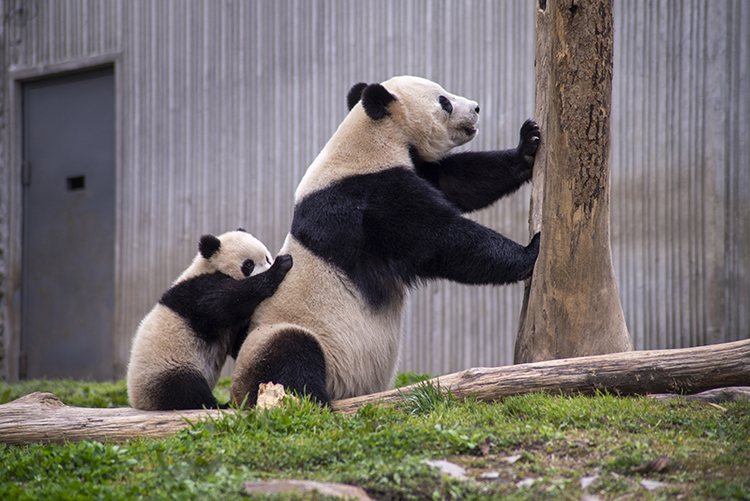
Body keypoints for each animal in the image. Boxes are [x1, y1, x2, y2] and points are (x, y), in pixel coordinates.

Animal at [128, 229, 292, 408]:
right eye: (249, 265)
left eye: (267, 258)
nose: (269, 264)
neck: (210, 266)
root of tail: (139, 402)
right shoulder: (199, 291)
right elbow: (228, 300)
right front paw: (281, 265)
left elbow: (239, 341)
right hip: (168, 364)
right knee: (185, 388)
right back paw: (219, 404)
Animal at [232, 77, 544, 406]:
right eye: (444, 101)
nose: (476, 108)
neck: (373, 137)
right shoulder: (365, 197)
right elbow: (437, 238)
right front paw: (530, 251)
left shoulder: (414, 168)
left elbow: (459, 180)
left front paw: (528, 146)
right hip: (278, 339)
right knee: (291, 354)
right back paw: (315, 403)